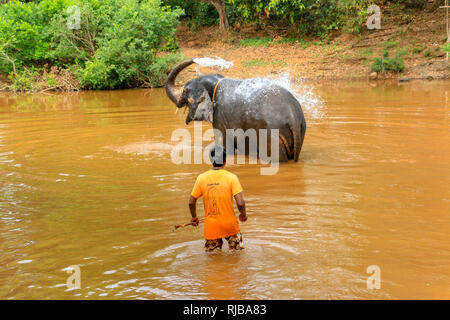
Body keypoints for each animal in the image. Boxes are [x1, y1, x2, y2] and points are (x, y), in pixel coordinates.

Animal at [165, 58, 306, 161]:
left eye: (185, 92)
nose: (193, 60)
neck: (216, 80)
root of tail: (292, 115)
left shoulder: (220, 116)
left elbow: (223, 146)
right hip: (300, 130)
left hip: (271, 135)